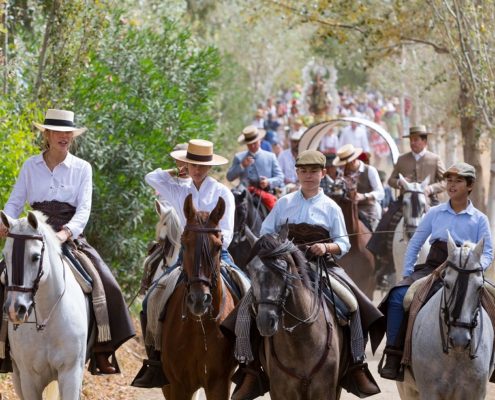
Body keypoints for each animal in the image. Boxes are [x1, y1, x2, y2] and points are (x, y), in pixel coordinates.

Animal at [1, 211, 88, 398]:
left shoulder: (71, 374)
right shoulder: (28, 379)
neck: (46, 319)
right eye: (5, 256)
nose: (14, 310)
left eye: (36, 257)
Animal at [162, 194, 237, 396]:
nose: (199, 300)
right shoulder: (179, 385)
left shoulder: (219, 383)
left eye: (218, 247)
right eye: (185, 244)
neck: (199, 327)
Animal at [402, 233, 494, 398]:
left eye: (480, 287)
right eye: (446, 283)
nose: (459, 340)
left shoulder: (475, 393)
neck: (455, 355)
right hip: (408, 390)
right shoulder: (429, 392)